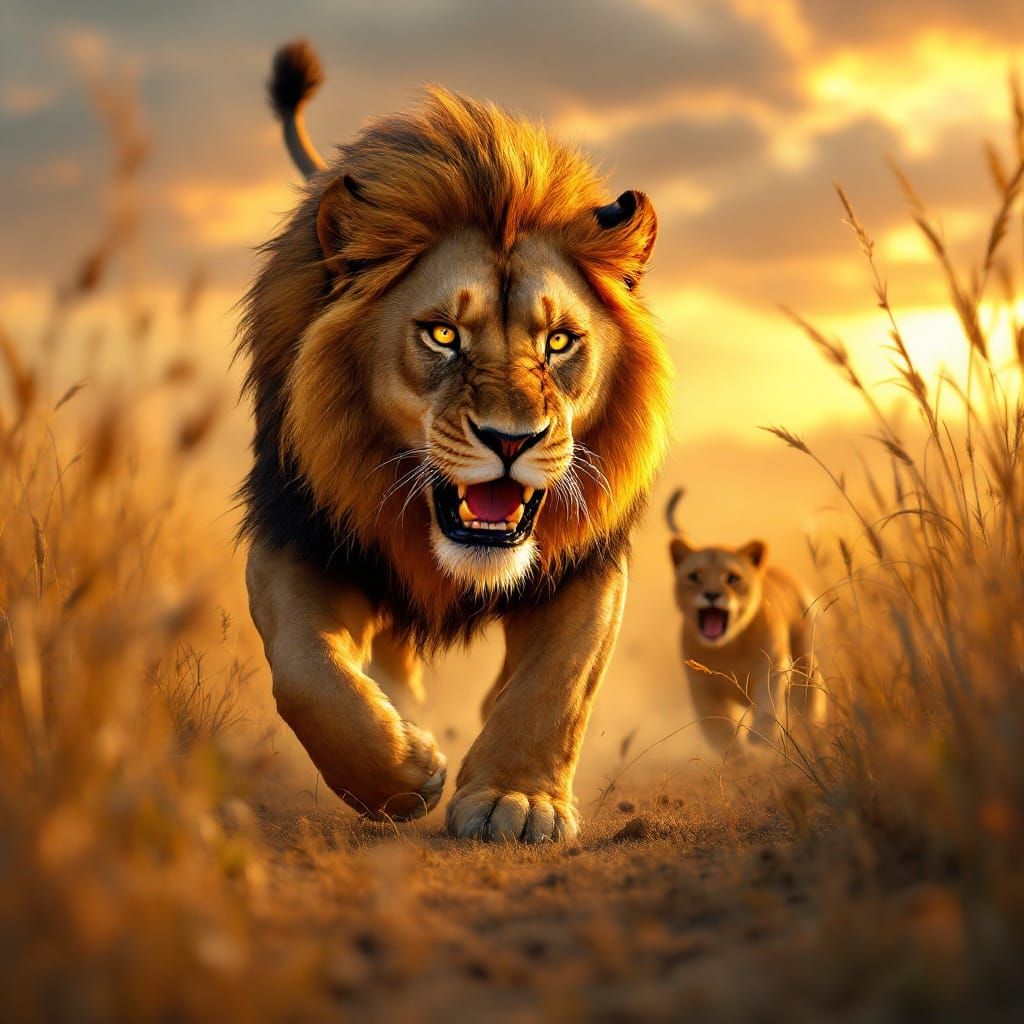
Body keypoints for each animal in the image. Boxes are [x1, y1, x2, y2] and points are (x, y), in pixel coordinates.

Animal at [238, 42, 672, 842]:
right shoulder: (296, 534)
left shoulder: (588, 559)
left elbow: (557, 684)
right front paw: (399, 776)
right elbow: (305, 672)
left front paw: (517, 800)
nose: (512, 439)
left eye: (559, 342)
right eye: (442, 335)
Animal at [665, 490, 826, 755]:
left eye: (732, 578)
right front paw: (736, 753)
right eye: (694, 576)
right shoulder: (701, 688)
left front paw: (759, 738)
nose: (712, 594)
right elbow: (717, 727)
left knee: (808, 700)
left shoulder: (773, 667)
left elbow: (768, 705)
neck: (728, 648)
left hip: (805, 662)